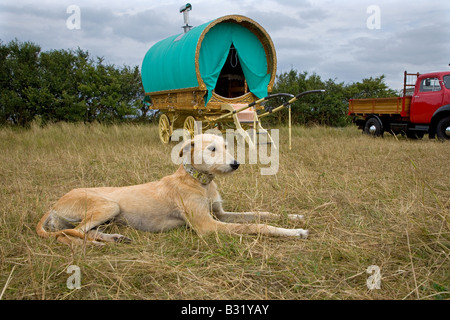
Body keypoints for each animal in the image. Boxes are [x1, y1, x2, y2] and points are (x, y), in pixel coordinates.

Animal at [37, 132, 308, 245]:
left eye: (226, 146)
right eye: (212, 149)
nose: (236, 164)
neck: (199, 182)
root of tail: (53, 205)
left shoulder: (219, 214)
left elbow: (261, 214)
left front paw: (294, 216)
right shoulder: (207, 225)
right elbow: (256, 226)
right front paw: (294, 232)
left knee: (83, 231)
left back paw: (113, 237)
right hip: (108, 205)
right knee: (69, 234)